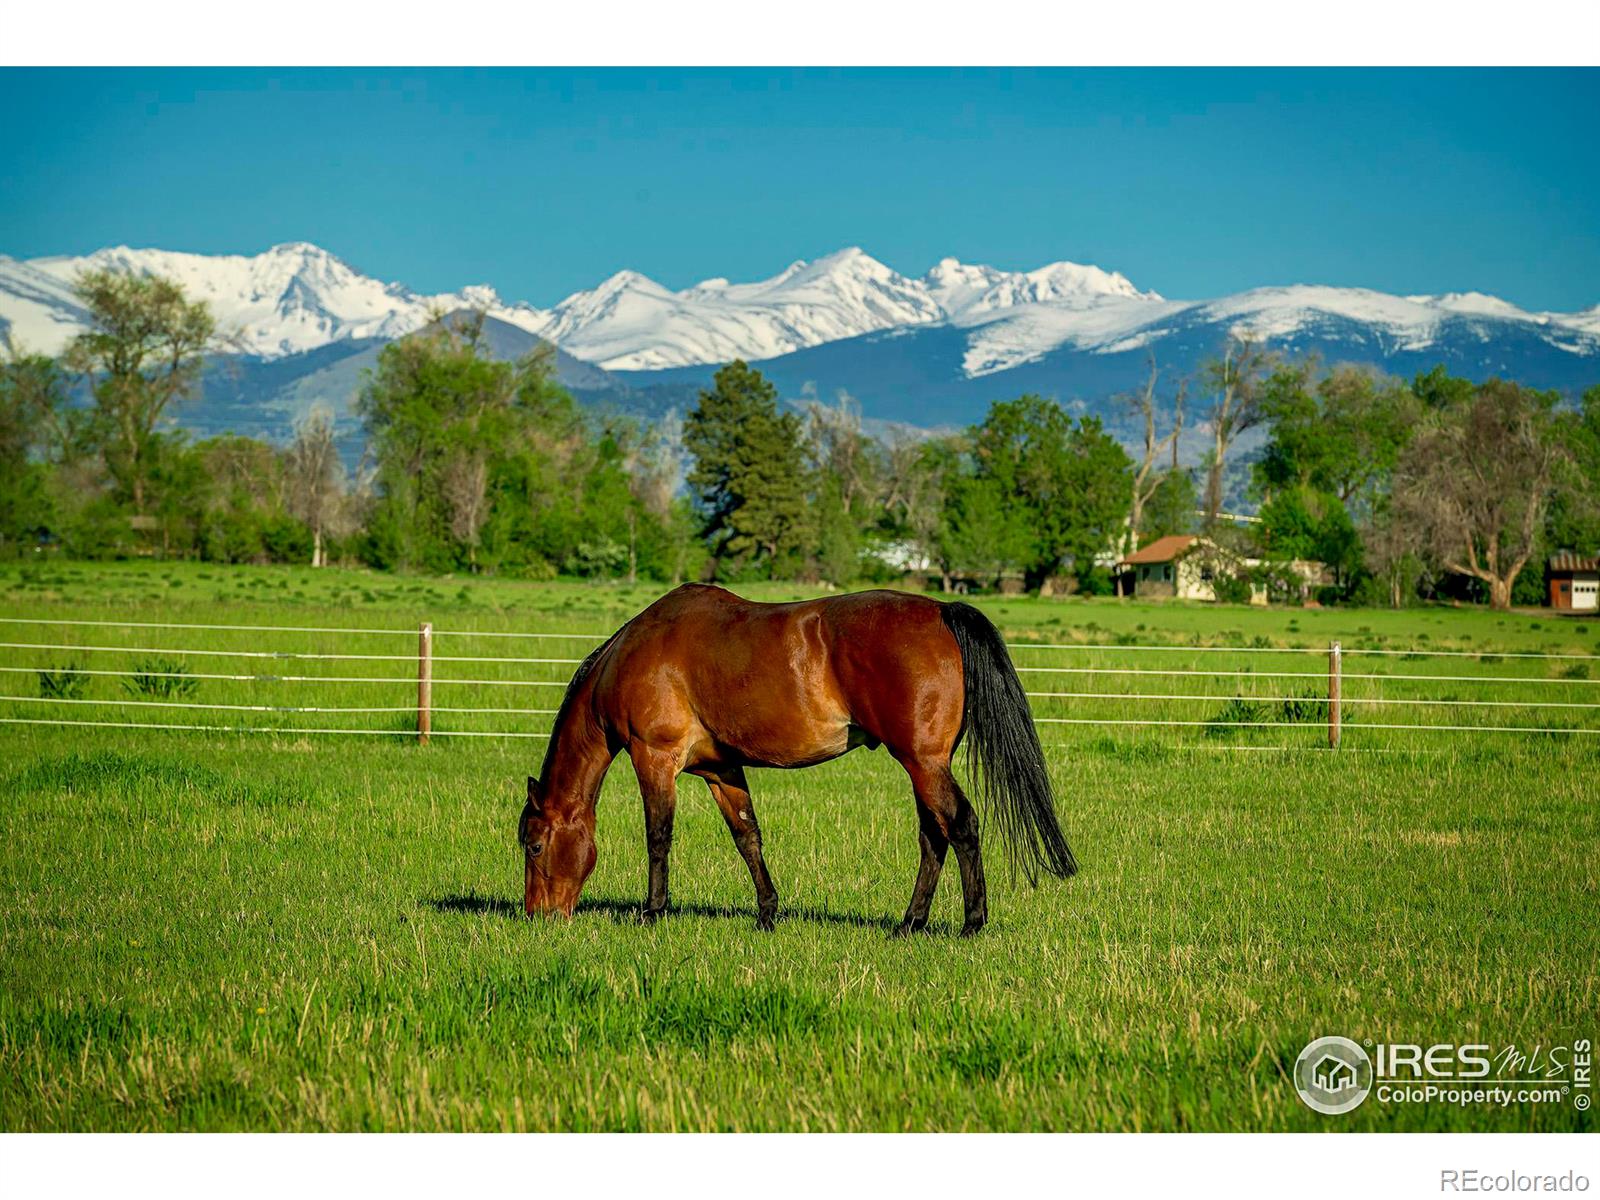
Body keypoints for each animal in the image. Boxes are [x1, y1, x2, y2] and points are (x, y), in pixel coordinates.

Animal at [524, 588, 1075, 934]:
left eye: (533, 845)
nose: (537, 916)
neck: (635, 654)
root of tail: (941, 611)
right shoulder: (721, 768)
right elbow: (747, 837)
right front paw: (768, 914)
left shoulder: (654, 758)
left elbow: (658, 837)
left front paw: (652, 912)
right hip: (925, 767)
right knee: (933, 835)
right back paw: (909, 923)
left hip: (923, 763)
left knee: (959, 825)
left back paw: (971, 923)